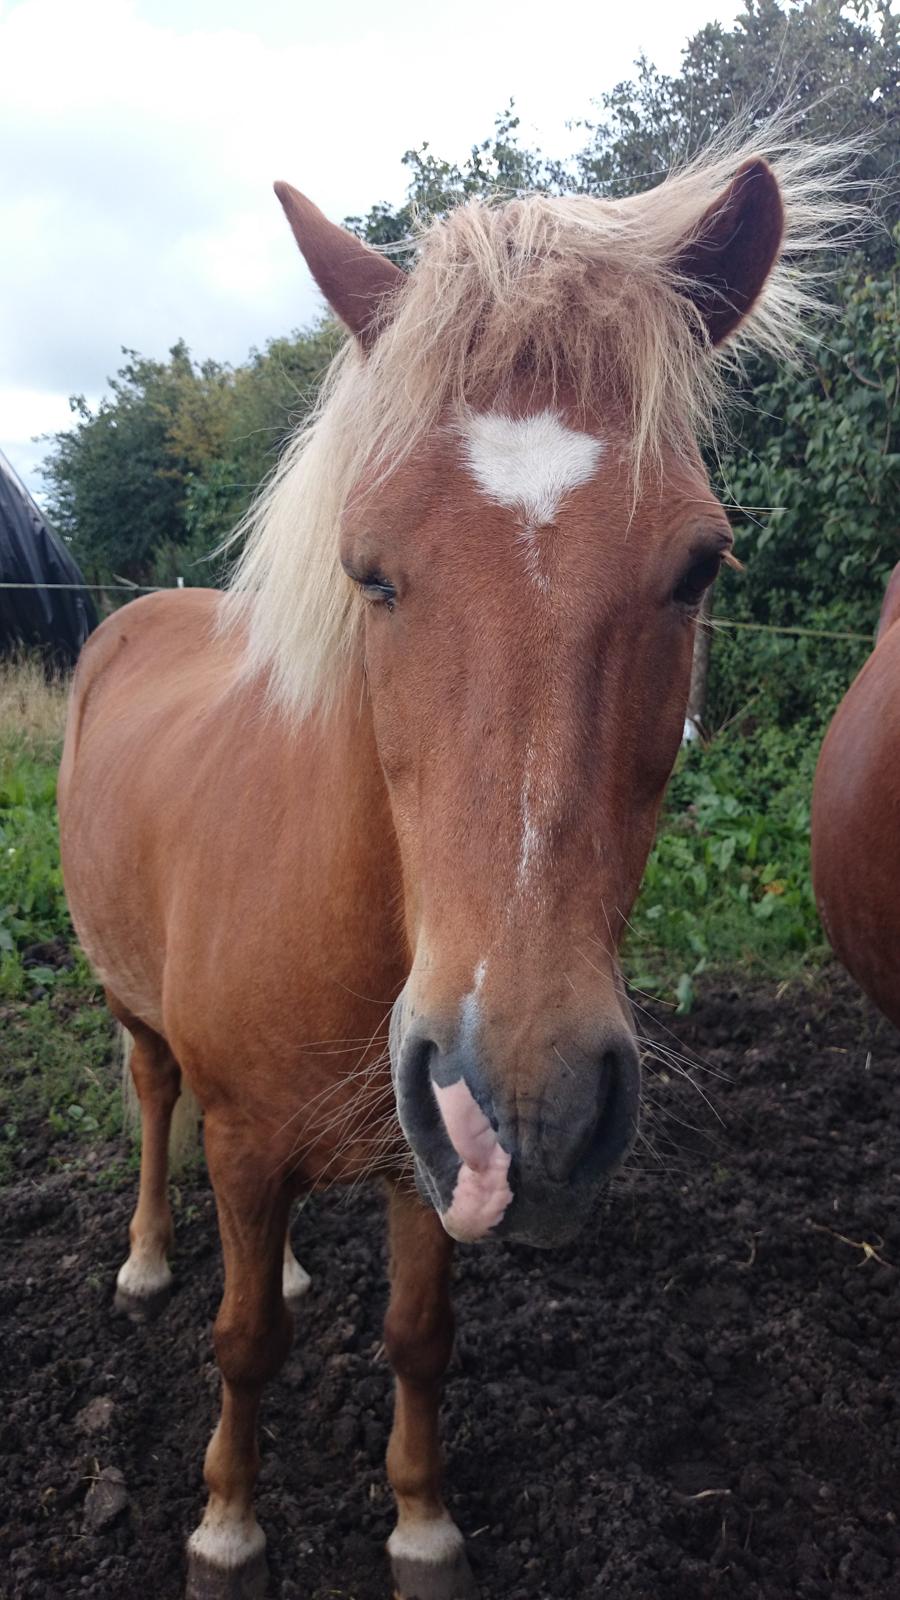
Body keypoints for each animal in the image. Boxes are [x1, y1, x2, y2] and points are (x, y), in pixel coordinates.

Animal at [59, 140, 839, 1600]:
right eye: (370, 571)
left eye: (698, 565)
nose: (526, 1104)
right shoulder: (248, 1139)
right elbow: (241, 1346)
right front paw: (226, 1526)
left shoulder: (415, 1147)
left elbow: (418, 1335)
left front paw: (422, 1526)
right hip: (139, 1017)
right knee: (151, 1096)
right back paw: (143, 1261)